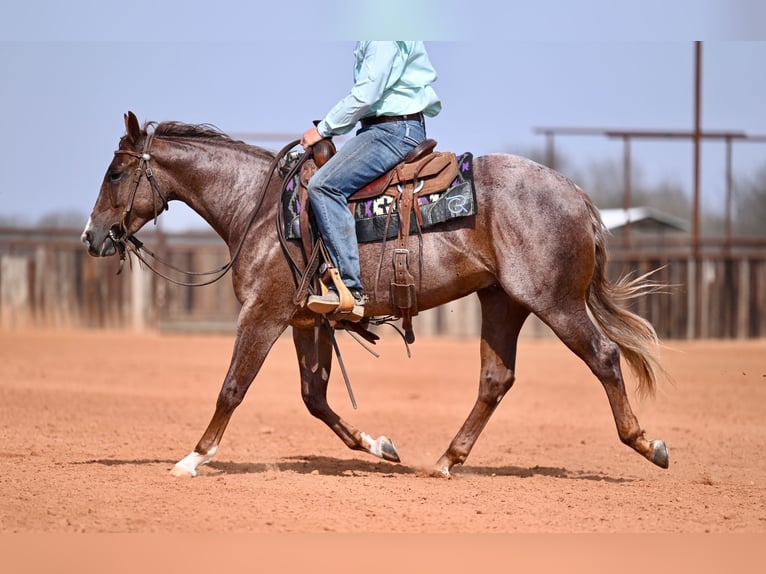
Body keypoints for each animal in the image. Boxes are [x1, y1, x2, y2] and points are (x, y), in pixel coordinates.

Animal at [81, 111, 669, 478]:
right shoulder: (307, 321)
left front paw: (193, 459)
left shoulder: (263, 314)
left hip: (555, 302)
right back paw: (446, 461)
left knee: (604, 356)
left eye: (116, 173)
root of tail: (577, 195)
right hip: (503, 302)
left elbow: (232, 387)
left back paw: (648, 444)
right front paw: (380, 446)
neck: (260, 207)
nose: (92, 236)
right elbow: (315, 398)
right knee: (496, 379)